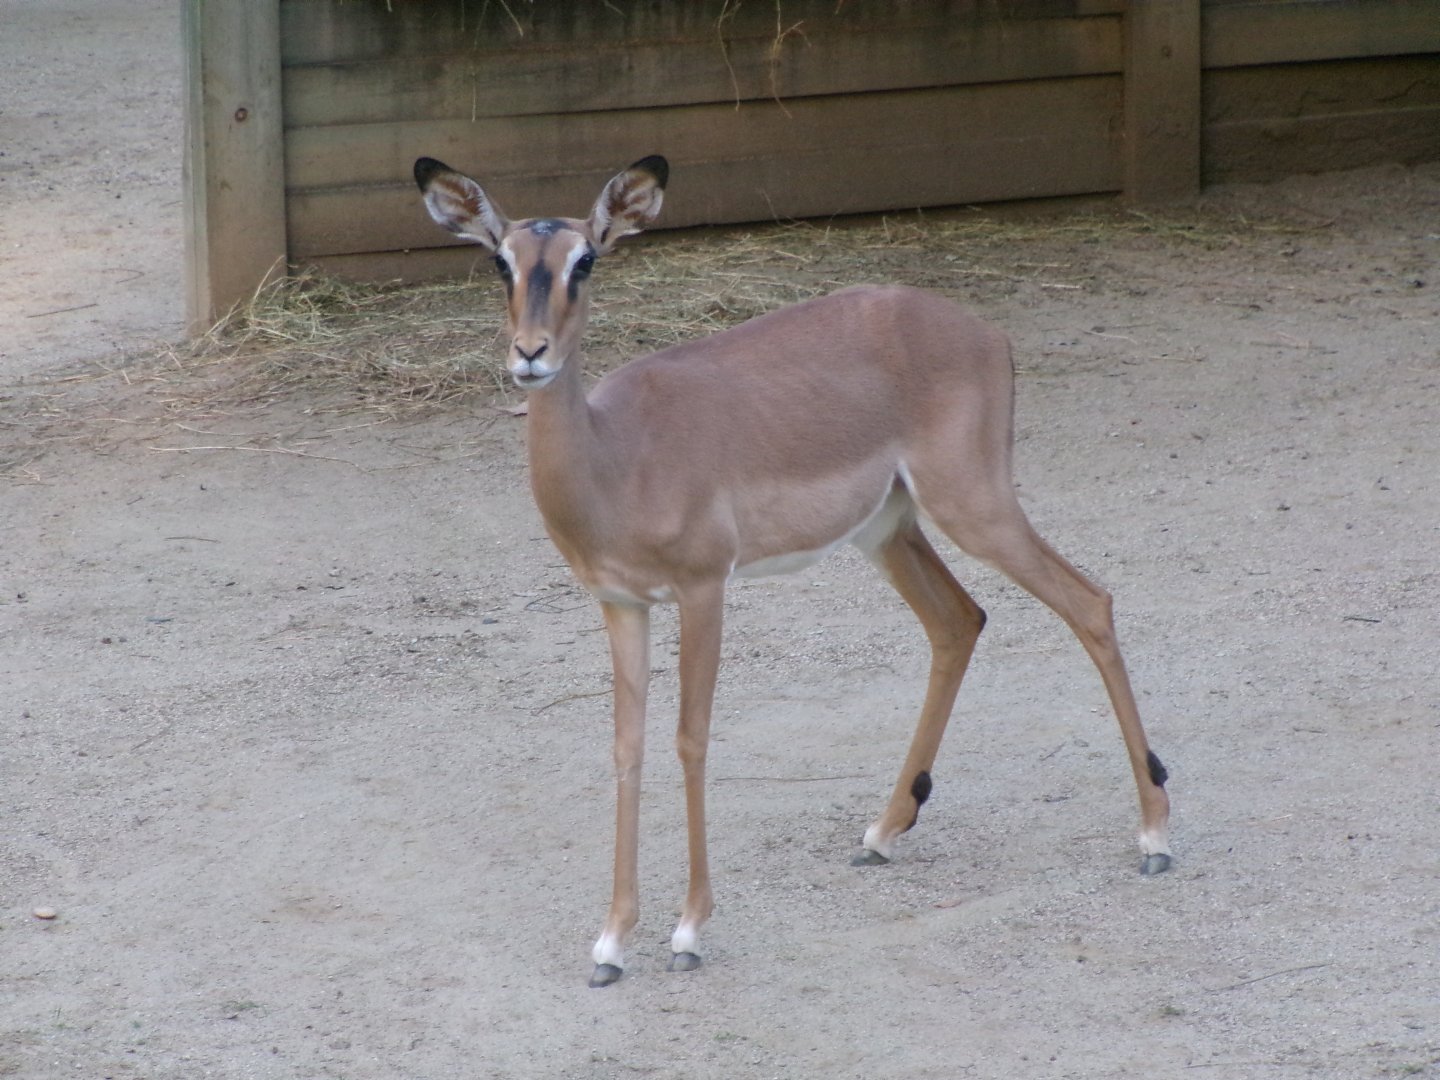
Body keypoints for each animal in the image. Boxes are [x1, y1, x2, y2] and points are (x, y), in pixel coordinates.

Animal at [414, 155, 1172, 987]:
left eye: (585, 259)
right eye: (500, 259)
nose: (531, 353)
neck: (617, 457)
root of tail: (986, 331)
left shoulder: (703, 589)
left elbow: (691, 737)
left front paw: (688, 930)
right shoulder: (621, 604)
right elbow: (626, 746)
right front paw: (611, 943)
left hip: (975, 507)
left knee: (1089, 601)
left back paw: (1154, 839)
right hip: (889, 528)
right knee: (958, 621)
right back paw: (881, 832)